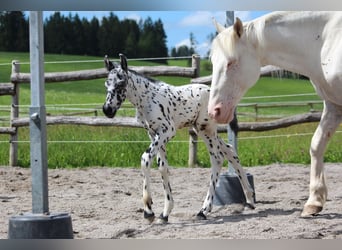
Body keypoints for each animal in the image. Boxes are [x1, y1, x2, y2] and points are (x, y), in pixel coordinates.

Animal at [208, 11, 342, 217]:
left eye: (231, 62)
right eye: (213, 63)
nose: (215, 110)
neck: (326, 39)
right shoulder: (333, 106)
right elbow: (316, 145)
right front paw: (314, 202)